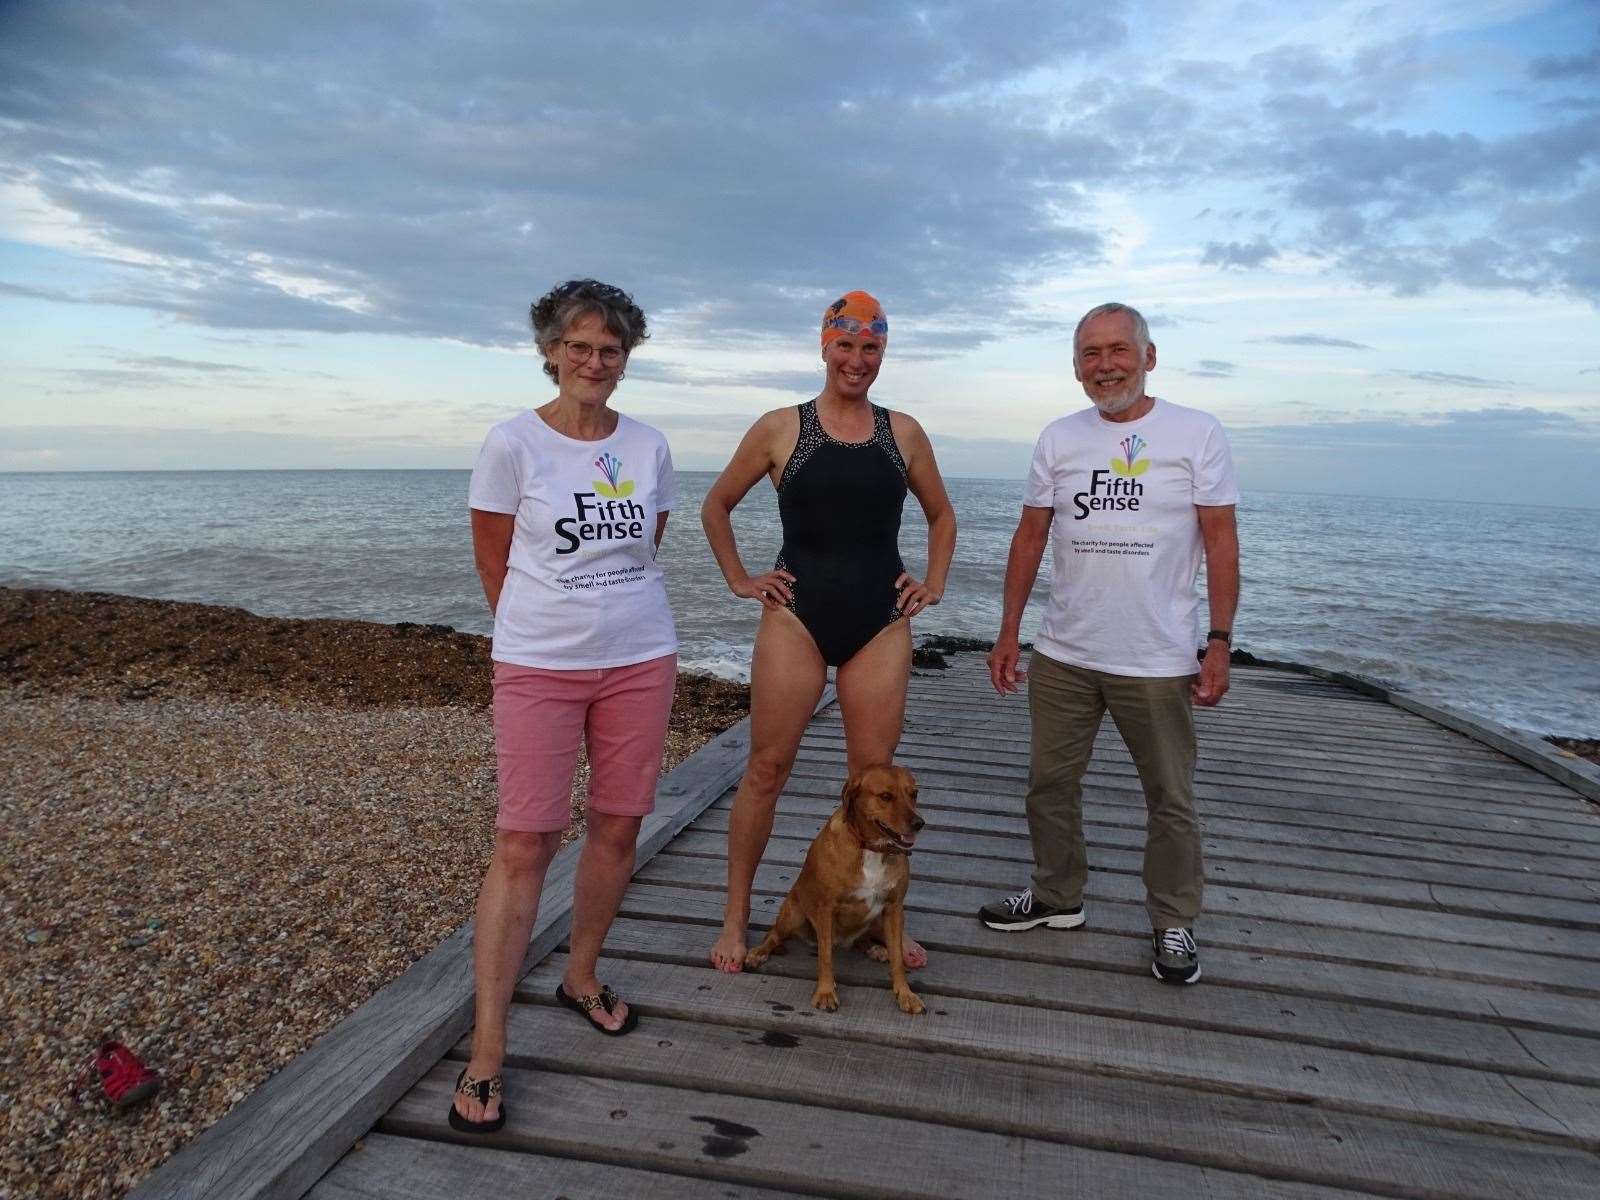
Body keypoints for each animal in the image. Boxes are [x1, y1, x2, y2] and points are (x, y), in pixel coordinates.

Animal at [745, 761, 928, 1017]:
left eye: (914, 794)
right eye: (885, 796)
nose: (919, 823)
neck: (870, 848)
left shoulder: (893, 908)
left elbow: (898, 960)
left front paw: (905, 994)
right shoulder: (825, 909)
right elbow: (825, 959)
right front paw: (825, 992)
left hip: (879, 919)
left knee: (866, 939)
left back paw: (876, 949)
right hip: (793, 914)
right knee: (774, 935)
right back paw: (759, 952)